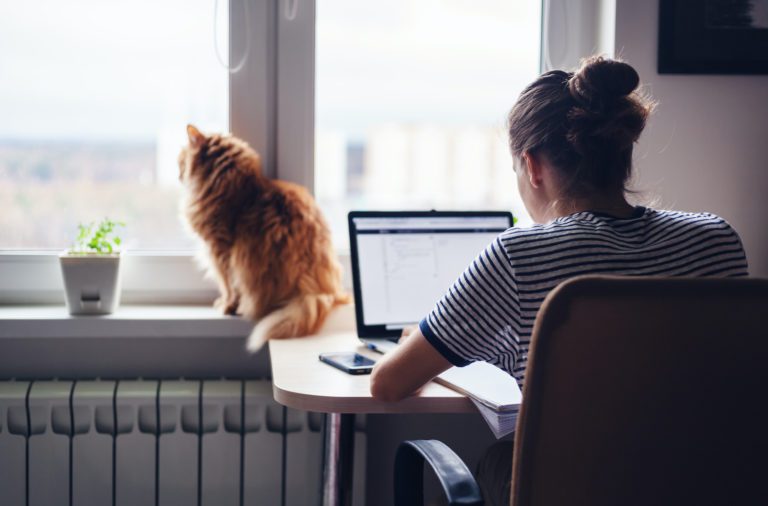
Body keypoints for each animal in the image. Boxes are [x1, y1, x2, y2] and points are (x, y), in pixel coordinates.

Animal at [178, 124, 350, 350]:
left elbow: (228, 286)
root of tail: (316, 289)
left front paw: (226, 306)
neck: (235, 186)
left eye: (181, 161)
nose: (178, 174)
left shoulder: (220, 251)